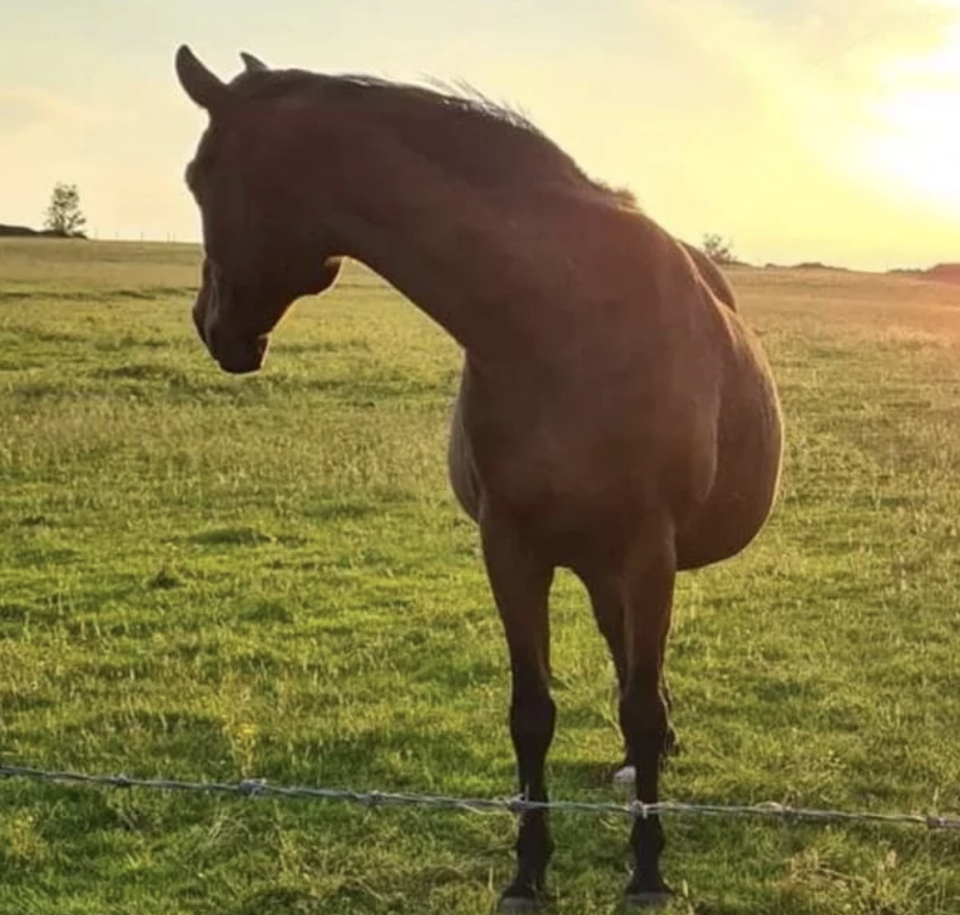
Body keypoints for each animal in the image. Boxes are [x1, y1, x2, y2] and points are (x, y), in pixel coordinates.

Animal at [176, 46, 784, 912]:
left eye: (199, 176)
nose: (211, 325)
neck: (560, 318)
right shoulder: (511, 545)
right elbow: (532, 712)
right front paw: (529, 869)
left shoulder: (647, 548)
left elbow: (634, 703)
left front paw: (646, 869)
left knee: (639, 673)